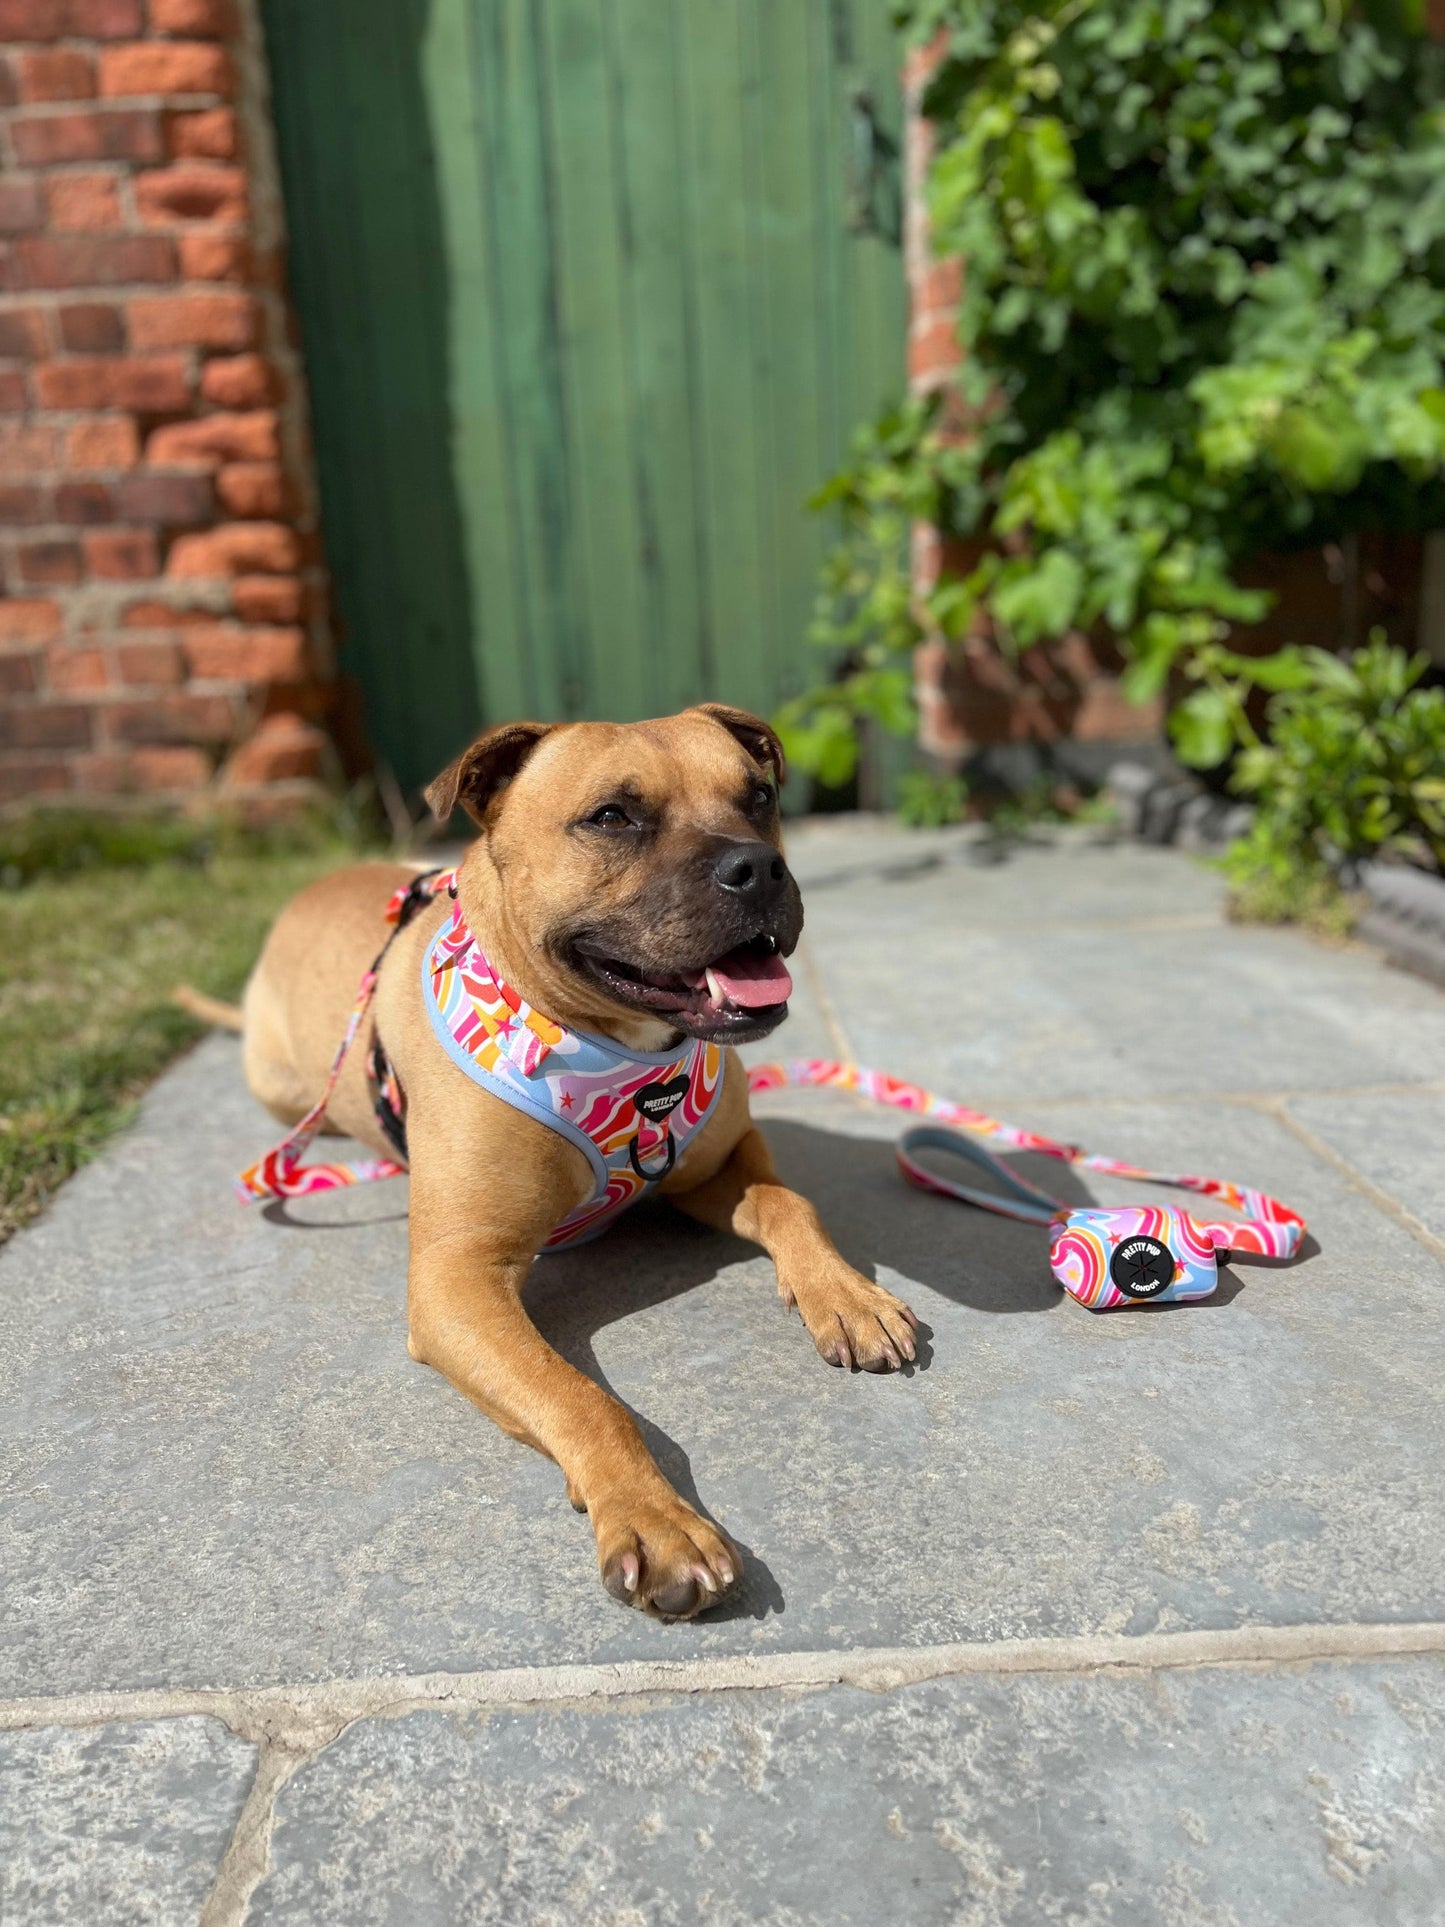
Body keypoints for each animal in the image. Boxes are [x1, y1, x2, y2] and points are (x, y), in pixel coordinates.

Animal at [237, 701, 917, 1618]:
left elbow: (790, 1203)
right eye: (611, 817)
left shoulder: (725, 1161)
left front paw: (846, 1294)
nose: (759, 866)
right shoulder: (455, 1279)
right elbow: (580, 1397)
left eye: (760, 795)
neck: (614, 1050)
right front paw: (655, 1519)